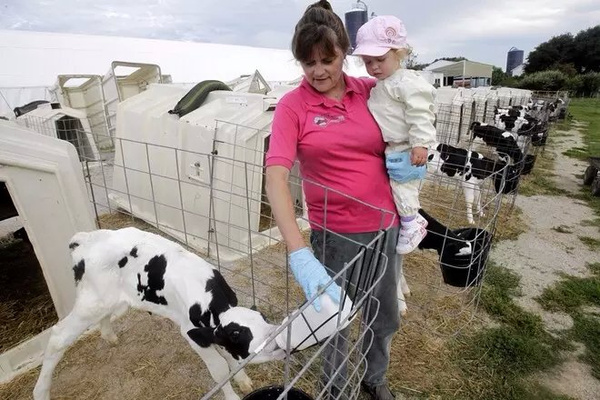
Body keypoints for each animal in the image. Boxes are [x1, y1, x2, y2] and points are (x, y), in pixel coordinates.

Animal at [32, 227, 286, 400]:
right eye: (238, 335)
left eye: (264, 318)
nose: (280, 341)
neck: (214, 304)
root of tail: (86, 239)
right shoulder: (191, 333)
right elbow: (219, 369)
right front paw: (232, 395)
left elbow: (229, 357)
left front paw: (243, 379)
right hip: (91, 302)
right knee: (58, 336)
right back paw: (41, 392)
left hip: (108, 299)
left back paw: (109, 336)